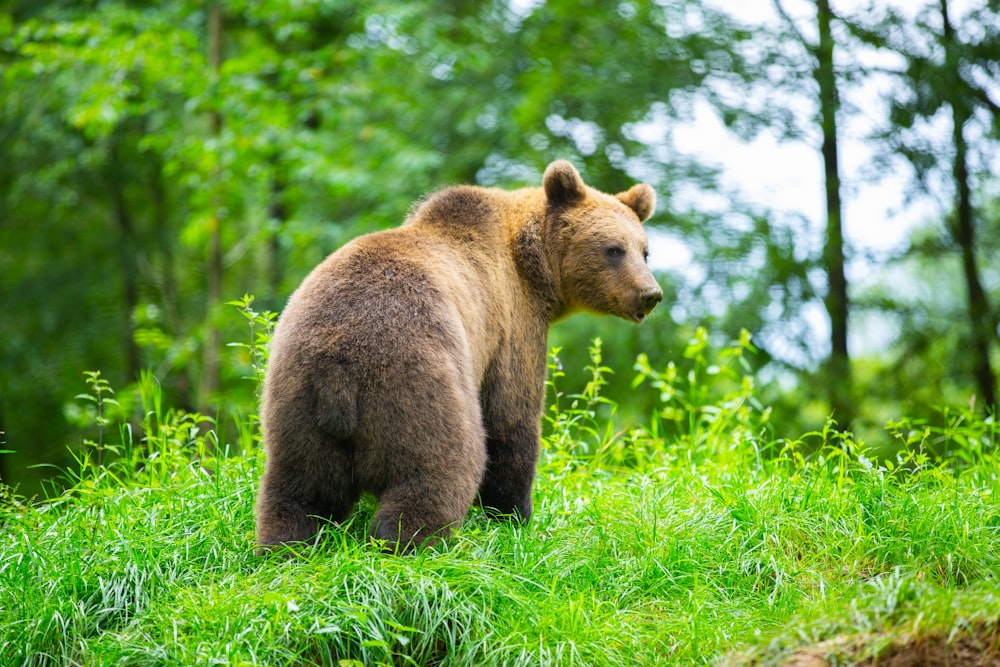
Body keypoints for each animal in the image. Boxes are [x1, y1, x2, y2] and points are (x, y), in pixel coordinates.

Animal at [258, 159, 660, 552]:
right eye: (613, 249)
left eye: (644, 250)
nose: (650, 294)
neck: (533, 269)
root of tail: (339, 366)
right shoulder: (511, 326)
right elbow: (511, 419)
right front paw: (517, 517)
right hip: (414, 377)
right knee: (443, 464)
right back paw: (412, 544)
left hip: (296, 398)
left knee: (299, 489)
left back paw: (285, 547)